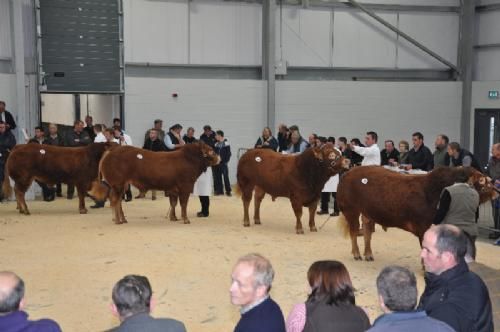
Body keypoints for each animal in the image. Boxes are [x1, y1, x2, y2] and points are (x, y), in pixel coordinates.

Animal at [336, 166, 496, 262]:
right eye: (482, 180)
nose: (495, 191)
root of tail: (348, 173)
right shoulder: (422, 226)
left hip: (367, 212)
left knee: (367, 232)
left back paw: (368, 254)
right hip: (351, 210)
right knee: (354, 232)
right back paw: (356, 253)